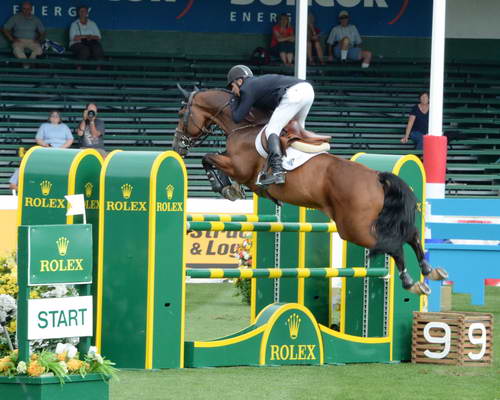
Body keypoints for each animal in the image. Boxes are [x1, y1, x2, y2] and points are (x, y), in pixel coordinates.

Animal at [174, 87, 448, 294]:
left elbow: (209, 158)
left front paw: (224, 187)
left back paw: (411, 282)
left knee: (393, 244)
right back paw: (430, 271)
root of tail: (376, 176)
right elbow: (213, 159)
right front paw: (231, 188)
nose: (177, 146)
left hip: (353, 228)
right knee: (410, 234)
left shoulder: (239, 167)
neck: (242, 127)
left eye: (181, 113)